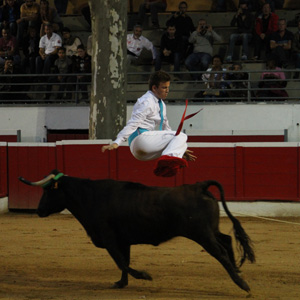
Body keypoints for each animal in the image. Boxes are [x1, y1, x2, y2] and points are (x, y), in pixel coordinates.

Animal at [18, 171, 254, 292]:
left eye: (48, 191)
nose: (38, 211)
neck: (91, 197)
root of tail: (198, 186)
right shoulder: (124, 241)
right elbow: (124, 261)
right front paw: (121, 283)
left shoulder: (109, 239)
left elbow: (121, 262)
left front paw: (144, 276)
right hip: (210, 230)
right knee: (226, 240)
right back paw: (237, 271)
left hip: (202, 234)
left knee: (220, 252)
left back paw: (242, 284)